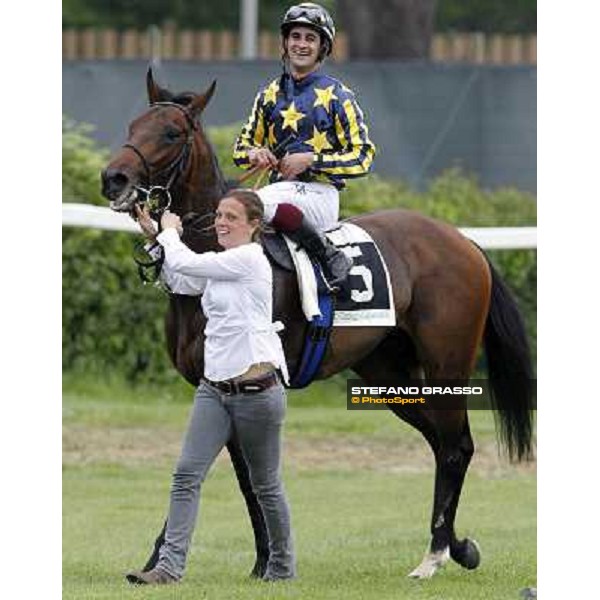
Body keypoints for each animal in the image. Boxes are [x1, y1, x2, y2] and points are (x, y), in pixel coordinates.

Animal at [99, 71, 536, 580]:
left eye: (171, 133)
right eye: (134, 124)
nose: (113, 178)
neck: (209, 268)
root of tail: (463, 241)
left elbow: (247, 474)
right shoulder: (215, 385)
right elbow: (235, 474)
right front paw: (249, 560)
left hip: (447, 363)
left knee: (455, 444)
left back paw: (432, 557)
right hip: (387, 373)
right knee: (441, 440)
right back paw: (456, 547)